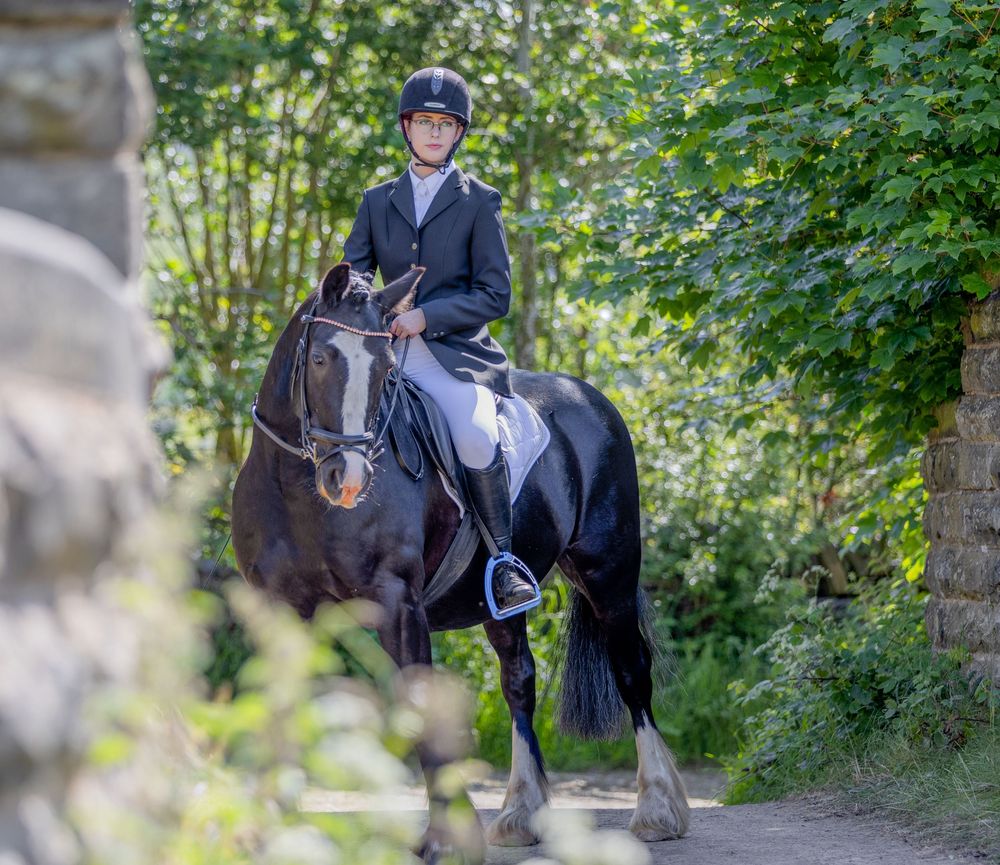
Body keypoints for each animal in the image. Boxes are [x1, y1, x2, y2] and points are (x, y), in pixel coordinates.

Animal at [232, 262, 690, 863]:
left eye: (385, 369)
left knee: (631, 671)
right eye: (321, 359)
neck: (297, 490)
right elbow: (280, 707)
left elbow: (419, 705)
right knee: (519, 680)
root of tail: (589, 396)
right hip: (500, 601)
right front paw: (273, 828)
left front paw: (447, 838)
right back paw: (520, 814)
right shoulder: (279, 609)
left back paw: (657, 808)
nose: (347, 479)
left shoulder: (397, 603)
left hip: (606, 572)